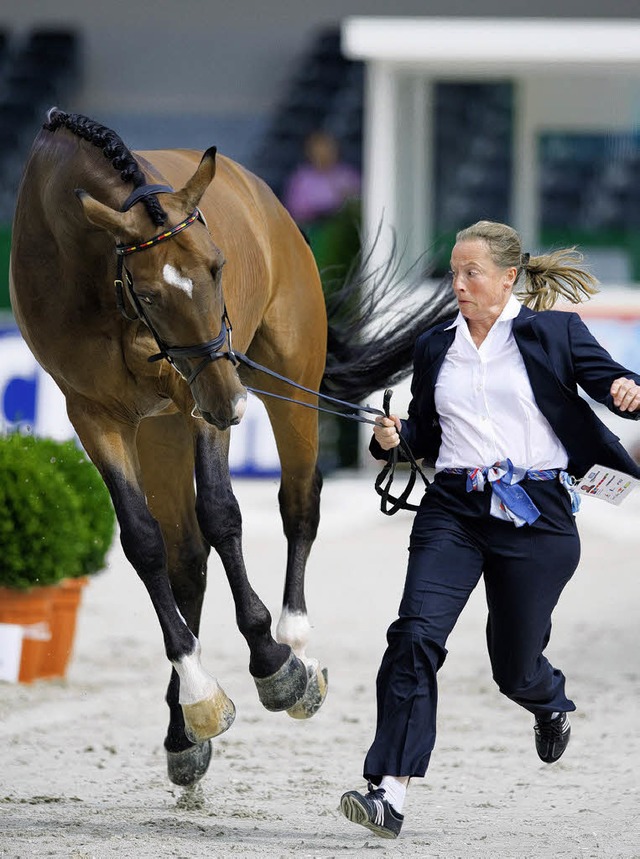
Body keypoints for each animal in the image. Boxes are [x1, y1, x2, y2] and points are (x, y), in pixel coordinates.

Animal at [7, 111, 452, 788]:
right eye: (149, 292)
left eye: (216, 266)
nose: (233, 404)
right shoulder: (97, 414)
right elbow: (145, 543)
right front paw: (199, 694)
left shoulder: (201, 394)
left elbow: (223, 515)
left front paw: (274, 663)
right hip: (165, 424)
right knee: (185, 556)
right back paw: (185, 723)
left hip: (280, 382)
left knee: (298, 503)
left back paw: (296, 643)